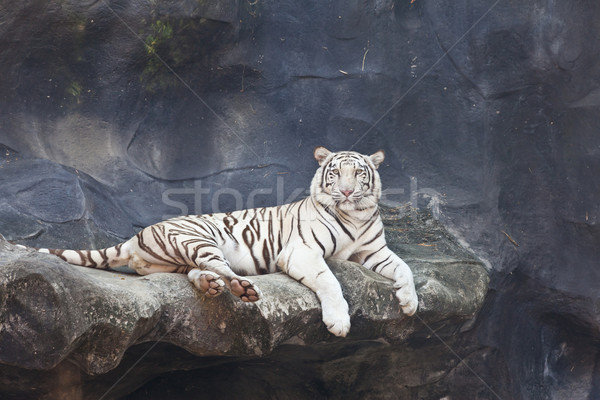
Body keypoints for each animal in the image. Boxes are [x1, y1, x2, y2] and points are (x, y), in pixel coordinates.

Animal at [24, 148, 418, 338]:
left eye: (359, 174)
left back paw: (212, 286)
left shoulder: (375, 251)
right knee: (219, 266)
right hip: (198, 237)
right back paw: (242, 289)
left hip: (178, 259)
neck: (355, 215)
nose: (347, 192)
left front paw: (409, 302)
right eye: (335, 174)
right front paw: (339, 322)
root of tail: (136, 236)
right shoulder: (302, 252)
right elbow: (330, 280)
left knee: (197, 272)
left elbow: (405, 268)